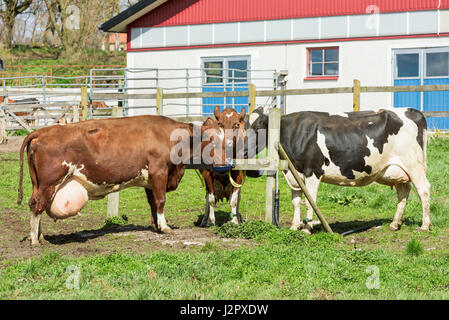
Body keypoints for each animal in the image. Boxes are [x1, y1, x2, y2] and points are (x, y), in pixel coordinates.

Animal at [17, 114, 228, 245]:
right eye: (212, 141)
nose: (226, 163)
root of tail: (42, 131)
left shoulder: (150, 180)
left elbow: (153, 203)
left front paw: (156, 225)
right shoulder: (159, 172)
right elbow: (161, 200)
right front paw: (165, 227)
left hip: (38, 184)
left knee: (36, 204)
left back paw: (39, 236)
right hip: (49, 182)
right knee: (37, 205)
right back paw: (35, 240)